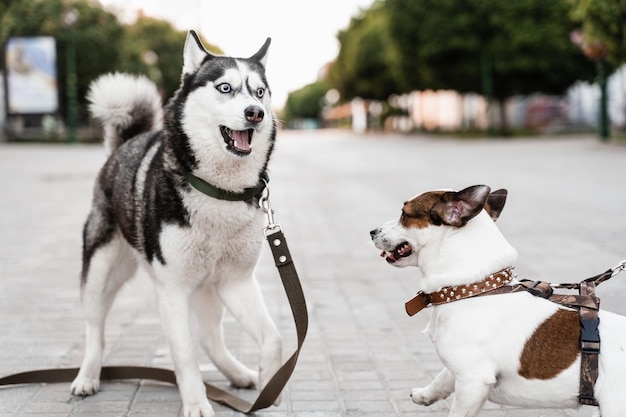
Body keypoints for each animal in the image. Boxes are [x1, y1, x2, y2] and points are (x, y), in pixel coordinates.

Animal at [70, 30, 280, 416]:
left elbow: (274, 339)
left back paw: (239, 375)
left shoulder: (236, 281)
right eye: (225, 87)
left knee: (211, 339)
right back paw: (87, 377)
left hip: (208, 287)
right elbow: (184, 353)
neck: (217, 191)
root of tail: (124, 144)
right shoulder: (172, 290)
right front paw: (196, 404)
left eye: (259, 92)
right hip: (100, 271)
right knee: (95, 330)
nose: (255, 113)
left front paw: (270, 385)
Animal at [368, 184, 624, 416]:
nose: (372, 231)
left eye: (404, 214)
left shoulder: (472, 382)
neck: (472, 289)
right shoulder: (465, 373)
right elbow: (443, 377)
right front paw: (425, 394)